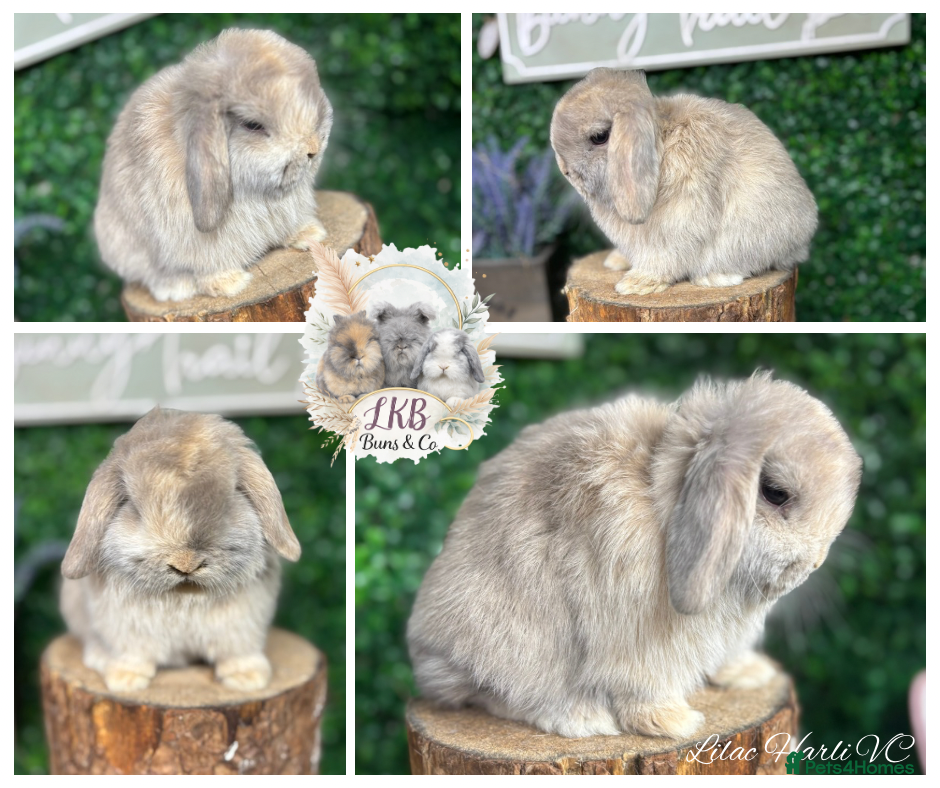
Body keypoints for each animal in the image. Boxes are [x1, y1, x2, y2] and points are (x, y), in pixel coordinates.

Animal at [59, 407, 301, 693]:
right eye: (134, 507)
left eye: (231, 496)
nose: (186, 564)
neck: (184, 597)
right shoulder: (124, 628)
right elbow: (133, 654)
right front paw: (125, 681)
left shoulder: (242, 623)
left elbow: (238, 651)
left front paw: (248, 679)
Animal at [94, 29, 334, 302]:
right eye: (253, 125)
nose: (313, 148)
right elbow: (208, 268)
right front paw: (231, 284)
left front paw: (311, 235)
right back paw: (176, 288)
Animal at [408, 372, 861, 739]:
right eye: (775, 493)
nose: (812, 565)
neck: (665, 502)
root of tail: (421, 646)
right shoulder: (637, 644)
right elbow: (642, 687)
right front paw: (675, 723)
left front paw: (750, 673)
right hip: (509, 645)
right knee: (492, 694)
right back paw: (582, 718)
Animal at [550, 68, 818, 296]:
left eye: (599, 137)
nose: (566, 172)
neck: (662, 145)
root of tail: (805, 237)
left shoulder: (680, 221)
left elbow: (665, 257)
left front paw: (636, 284)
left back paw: (714, 277)